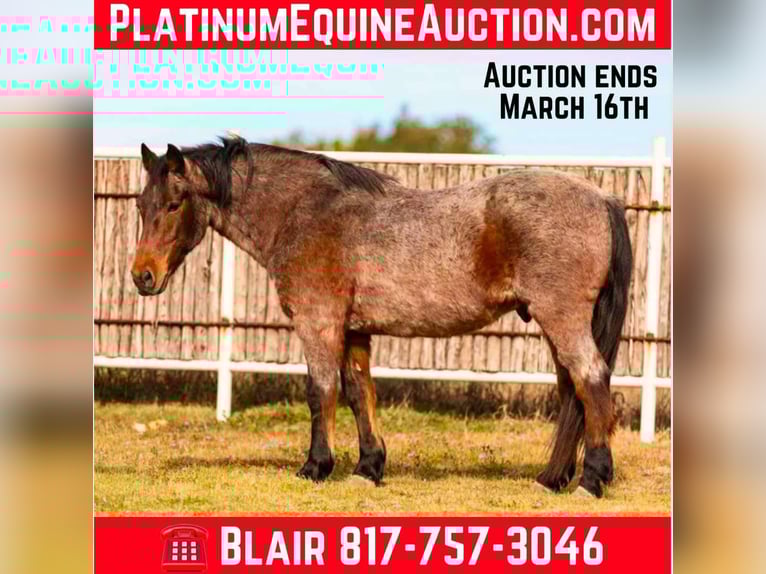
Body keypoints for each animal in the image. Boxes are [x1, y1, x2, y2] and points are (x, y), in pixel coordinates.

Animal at [131, 136, 632, 498]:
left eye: (174, 203)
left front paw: (316, 466)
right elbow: (359, 393)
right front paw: (368, 467)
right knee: (571, 391)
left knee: (591, 379)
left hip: (562, 318)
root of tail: (601, 197)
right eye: (140, 204)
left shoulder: (318, 324)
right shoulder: (354, 330)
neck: (305, 212)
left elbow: (320, 392)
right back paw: (552, 478)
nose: (142, 276)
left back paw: (591, 479)